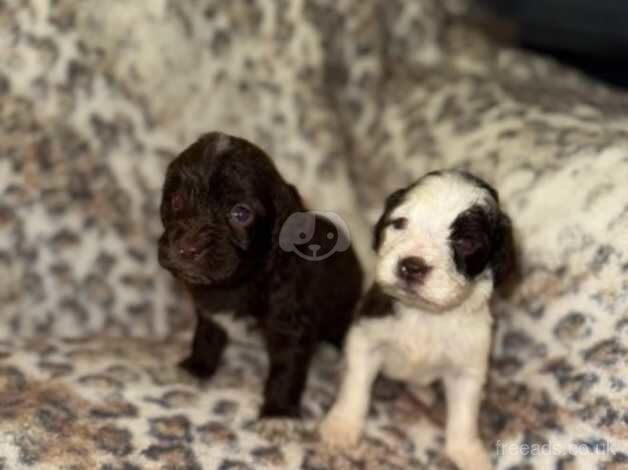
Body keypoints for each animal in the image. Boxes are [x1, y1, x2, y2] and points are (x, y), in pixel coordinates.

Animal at [157, 132, 364, 418]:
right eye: (176, 200)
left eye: (240, 213)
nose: (187, 248)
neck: (242, 282)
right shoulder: (210, 311)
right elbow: (205, 338)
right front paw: (196, 367)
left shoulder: (290, 324)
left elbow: (286, 371)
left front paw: (278, 413)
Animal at [318, 171, 516, 468]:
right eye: (400, 223)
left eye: (465, 242)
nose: (412, 266)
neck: (424, 314)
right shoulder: (365, 337)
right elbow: (356, 388)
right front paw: (342, 427)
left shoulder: (467, 368)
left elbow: (464, 417)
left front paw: (467, 453)